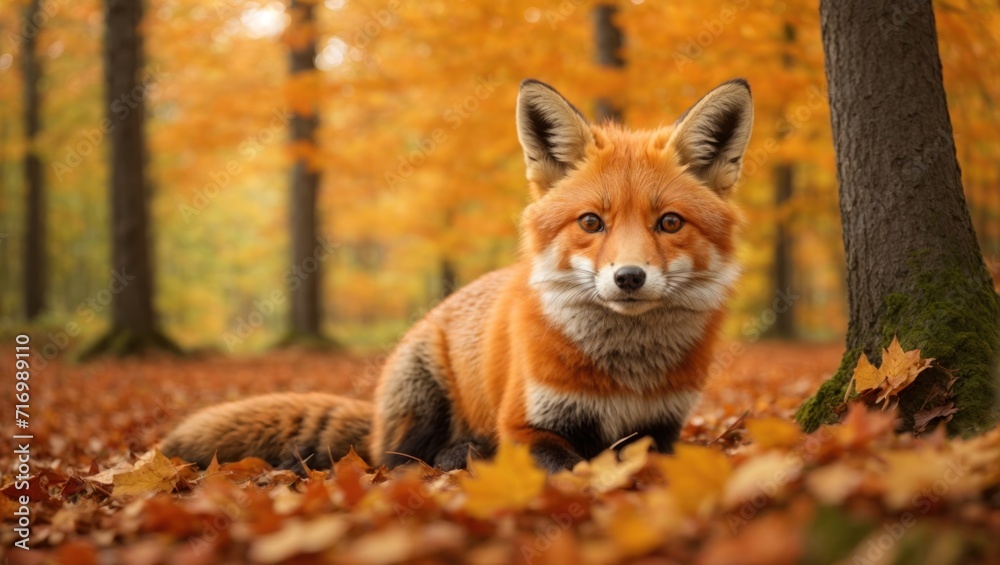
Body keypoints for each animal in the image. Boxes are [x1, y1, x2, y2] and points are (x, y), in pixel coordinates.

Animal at [162, 78, 753, 473]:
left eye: (669, 222)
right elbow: (570, 467)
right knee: (395, 461)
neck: (626, 374)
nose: (629, 277)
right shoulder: (526, 426)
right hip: (419, 402)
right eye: (591, 222)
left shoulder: (662, 428)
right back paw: (453, 454)